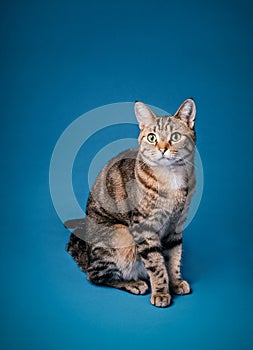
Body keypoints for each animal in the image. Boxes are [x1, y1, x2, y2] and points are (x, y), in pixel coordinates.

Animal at [65, 98, 196, 306]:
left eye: (175, 136)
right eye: (152, 137)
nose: (163, 149)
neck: (171, 178)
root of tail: (86, 255)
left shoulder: (176, 225)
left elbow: (174, 257)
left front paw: (175, 282)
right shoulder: (144, 226)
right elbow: (156, 263)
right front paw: (161, 292)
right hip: (121, 234)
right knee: (95, 276)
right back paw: (133, 283)